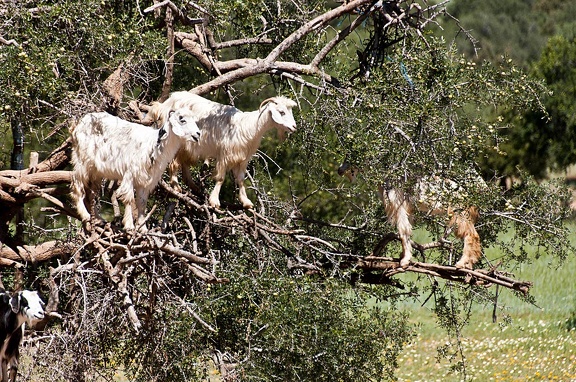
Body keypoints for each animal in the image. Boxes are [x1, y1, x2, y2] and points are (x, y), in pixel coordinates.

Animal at [71, 109, 201, 231]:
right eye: (182, 119)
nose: (198, 134)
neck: (154, 144)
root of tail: (78, 125)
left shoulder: (145, 180)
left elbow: (142, 203)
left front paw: (143, 228)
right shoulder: (130, 174)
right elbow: (129, 199)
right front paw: (129, 226)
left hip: (96, 171)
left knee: (91, 192)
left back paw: (98, 218)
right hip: (82, 161)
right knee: (77, 184)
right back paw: (85, 215)